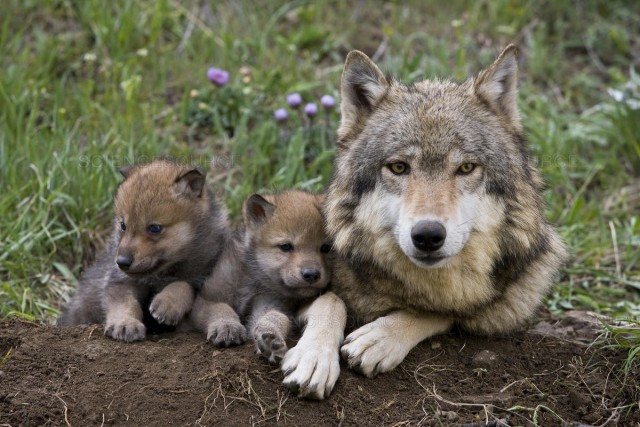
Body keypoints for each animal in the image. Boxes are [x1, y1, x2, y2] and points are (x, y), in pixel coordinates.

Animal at [282, 45, 568, 400]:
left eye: (466, 168)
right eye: (399, 167)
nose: (428, 236)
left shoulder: (503, 306)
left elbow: (443, 310)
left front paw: (381, 337)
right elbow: (330, 299)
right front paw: (314, 358)